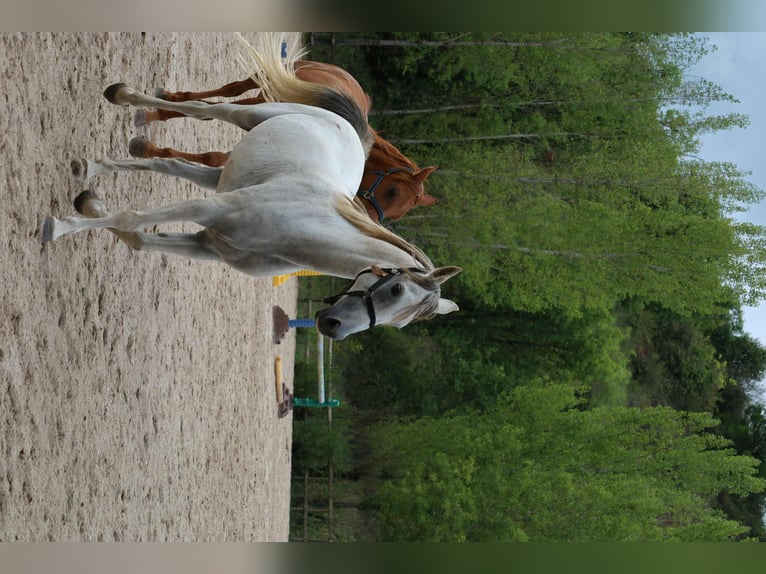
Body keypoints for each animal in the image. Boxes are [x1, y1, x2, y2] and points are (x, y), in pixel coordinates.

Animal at [128, 33, 439, 223]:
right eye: (393, 191)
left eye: (397, 213)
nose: (363, 217)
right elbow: (209, 122)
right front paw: (151, 121)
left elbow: (215, 157)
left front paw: (151, 149)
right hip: (261, 83)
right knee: (228, 90)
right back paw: (169, 100)